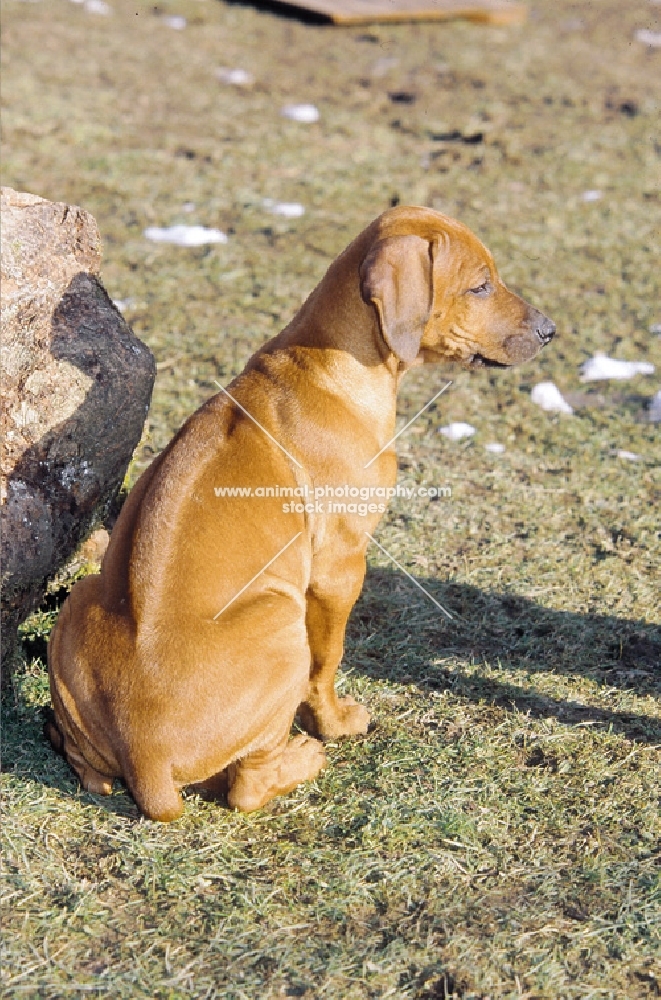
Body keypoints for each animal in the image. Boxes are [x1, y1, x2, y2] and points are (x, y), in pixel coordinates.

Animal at [43, 205, 556, 820]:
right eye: (480, 286)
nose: (550, 331)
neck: (328, 363)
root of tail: (146, 762)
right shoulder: (341, 565)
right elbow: (329, 661)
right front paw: (333, 723)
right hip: (281, 622)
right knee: (246, 788)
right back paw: (303, 756)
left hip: (83, 598)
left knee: (90, 770)